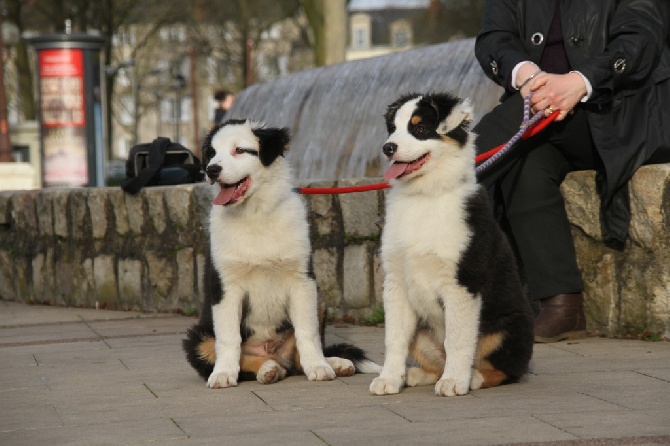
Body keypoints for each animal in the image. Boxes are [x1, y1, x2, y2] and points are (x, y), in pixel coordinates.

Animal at [185, 118, 384, 386]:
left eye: (239, 150)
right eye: (212, 153)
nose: (211, 170)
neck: (255, 214)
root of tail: (275, 354)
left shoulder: (301, 279)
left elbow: (307, 332)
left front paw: (318, 367)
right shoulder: (225, 286)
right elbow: (228, 339)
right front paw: (224, 373)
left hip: (319, 296)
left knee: (298, 359)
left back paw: (334, 363)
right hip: (198, 336)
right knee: (233, 356)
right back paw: (266, 369)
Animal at [370, 93, 532, 398]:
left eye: (421, 128)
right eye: (392, 129)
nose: (388, 148)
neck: (424, 195)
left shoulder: (462, 282)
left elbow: (457, 338)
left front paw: (455, 381)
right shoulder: (396, 280)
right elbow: (394, 337)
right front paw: (389, 379)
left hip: (505, 329)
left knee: (508, 369)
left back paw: (473, 377)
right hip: (422, 330)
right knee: (434, 358)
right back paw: (415, 375)